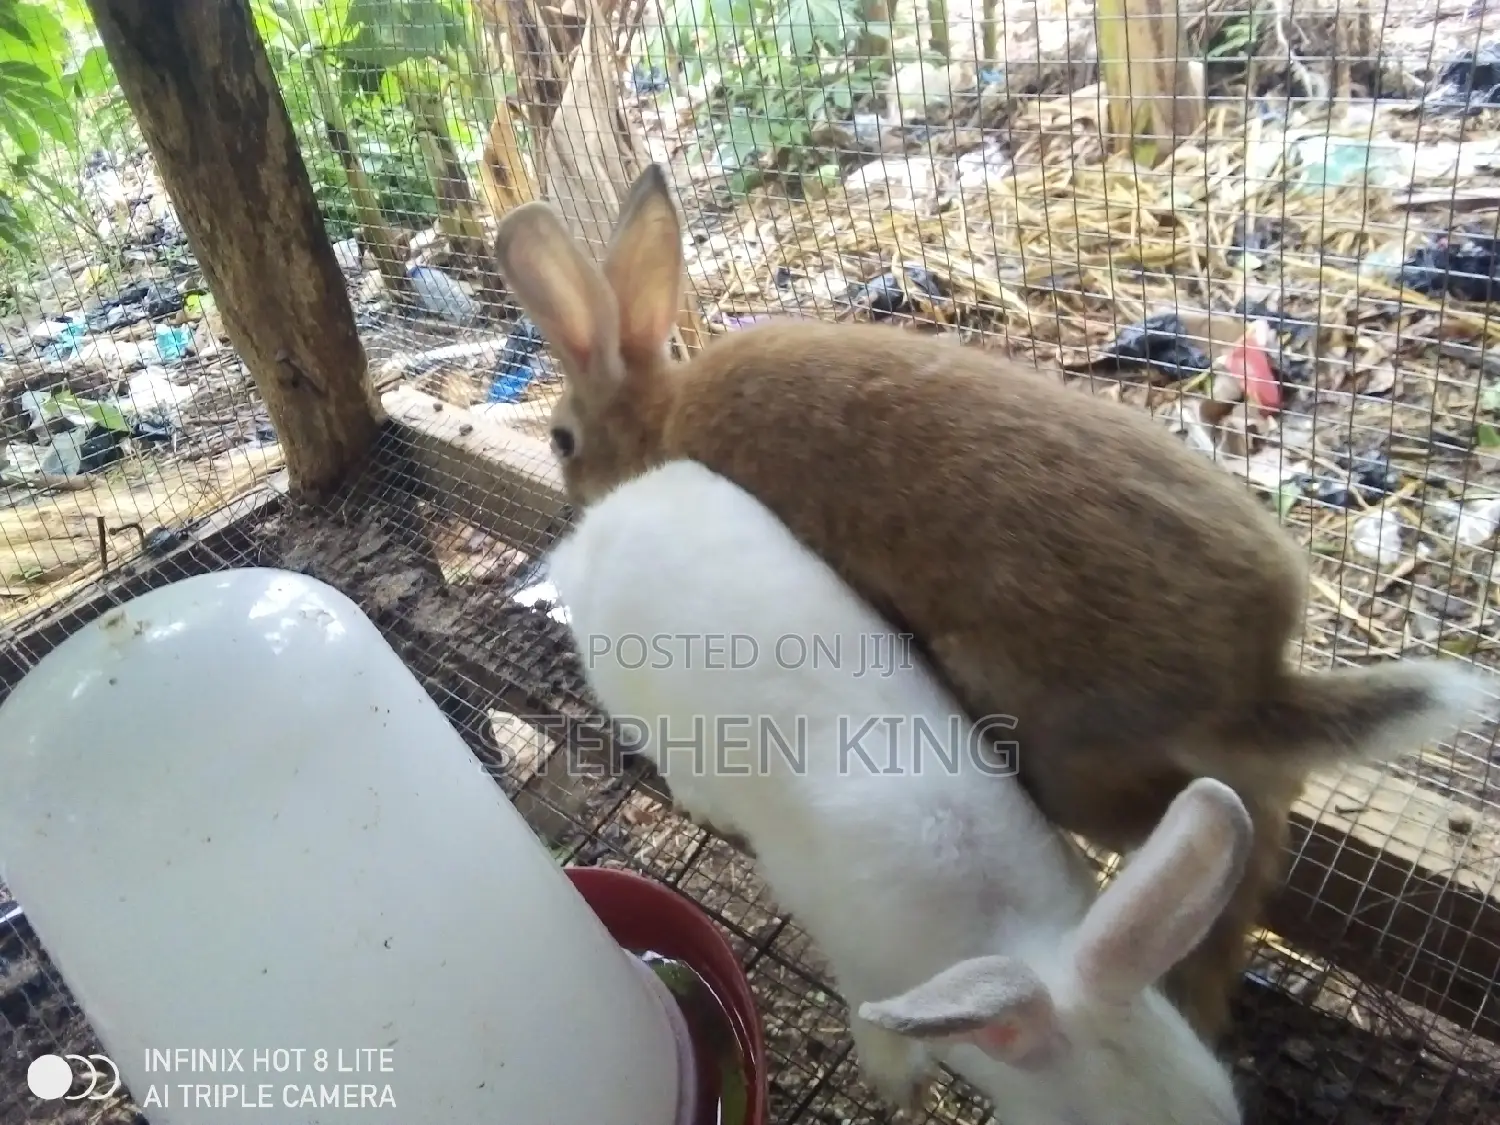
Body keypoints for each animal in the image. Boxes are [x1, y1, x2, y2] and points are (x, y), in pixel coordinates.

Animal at [543, 455, 1250, 1124]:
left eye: (1225, 1106)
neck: (1009, 930)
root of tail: (599, 526)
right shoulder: (857, 962)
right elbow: (868, 1018)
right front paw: (900, 1085)